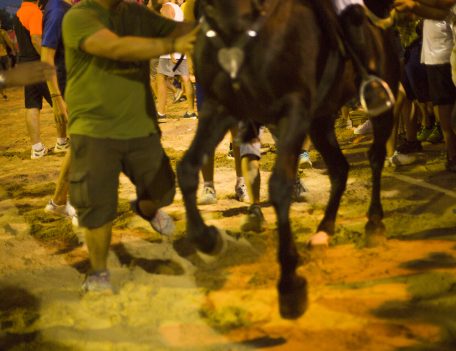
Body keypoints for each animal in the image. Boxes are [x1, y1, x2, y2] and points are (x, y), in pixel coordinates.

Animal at [176, 0, 398, 320]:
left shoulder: (294, 109)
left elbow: (280, 185)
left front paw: (290, 285)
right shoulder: (220, 106)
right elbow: (187, 168)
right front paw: (207, 238)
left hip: (380, 107)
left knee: (376, 157)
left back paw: (374, 224)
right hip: (320, 120)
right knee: (339, 169)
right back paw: (323, 232)